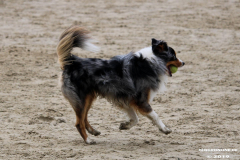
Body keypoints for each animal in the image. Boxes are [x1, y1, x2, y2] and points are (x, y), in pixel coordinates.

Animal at [57, 26, 185, 144]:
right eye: (174, 56)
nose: (184, 62)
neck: (152, 62)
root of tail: (73, 63)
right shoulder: (141, 101)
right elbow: (155, 116)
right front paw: (165, 129)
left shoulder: (127, 99)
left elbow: (135, 118)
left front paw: (125, 125)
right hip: (81, 99)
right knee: (79, 122)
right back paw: (88, 140)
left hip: (88, 98)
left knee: (84, 118)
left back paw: (93, 131)